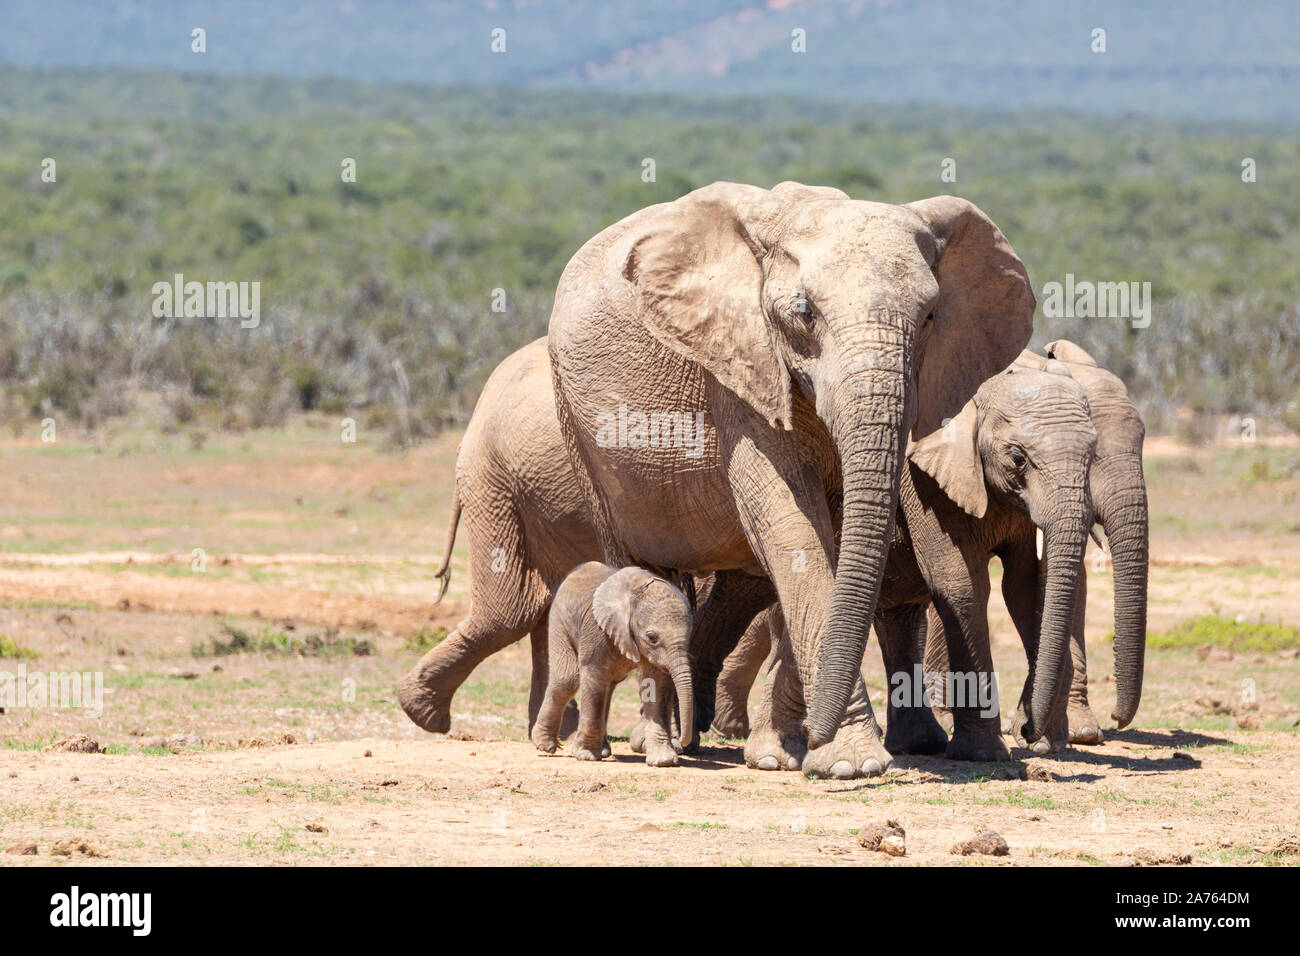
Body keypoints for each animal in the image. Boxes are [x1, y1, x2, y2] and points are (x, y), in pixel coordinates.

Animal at [533, 564, 696, 764]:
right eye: (652, 638)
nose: (682, 742)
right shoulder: (596, 630)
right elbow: (594, 678)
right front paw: (586, 756)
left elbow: (656, 685)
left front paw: (663, 761)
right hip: (559, 620)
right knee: (568, 679)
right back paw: (545, 746)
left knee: (607, 687)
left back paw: (602, 751)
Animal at [712, 353, 1097, 764]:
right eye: (1018, 458)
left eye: (1093, 457)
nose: (1025, 730)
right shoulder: (920, 483)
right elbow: (959, 582)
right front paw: (984, 755)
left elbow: (1022, 588)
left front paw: (1043, 745)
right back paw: (769, 752)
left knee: (898, 617)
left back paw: (918, 744)